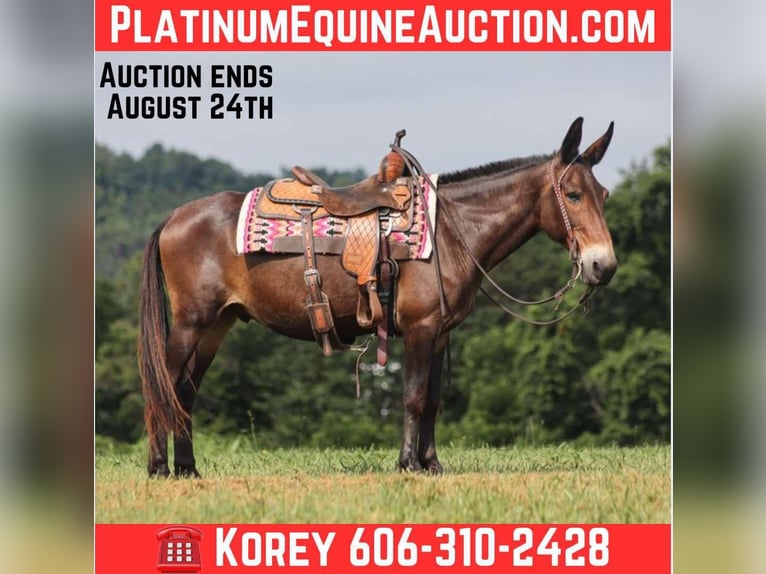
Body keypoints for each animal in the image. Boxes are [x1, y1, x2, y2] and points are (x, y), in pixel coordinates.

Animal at [138, 117, 617, 477]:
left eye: (604, 194)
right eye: (573, 194)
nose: (604, 265)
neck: (451, 231)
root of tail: (174, 217)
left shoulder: (440, 333)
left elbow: (433, 400)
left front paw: (432, 464)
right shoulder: (421, 328)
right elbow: (414, 396)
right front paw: (408, 464)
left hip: (216, 324)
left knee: (184, 392)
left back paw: (188, 468)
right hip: (191, 322)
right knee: (163, 386)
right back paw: (160, 468)